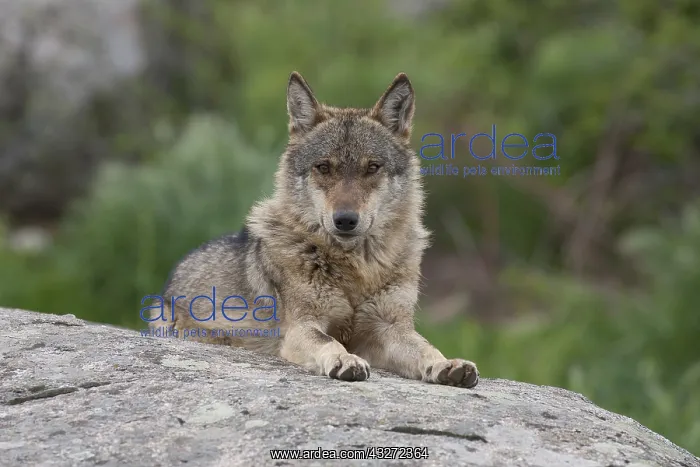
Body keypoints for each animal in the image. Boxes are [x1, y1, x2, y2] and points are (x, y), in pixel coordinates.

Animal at [151, 72, 479, 388]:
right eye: (323, 167)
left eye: (372, 167)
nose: (345, 220)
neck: (357, 269)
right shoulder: (301, 327)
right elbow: (329, 340)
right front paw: (345, 360)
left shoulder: (389, 327)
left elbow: (425, 347)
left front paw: (447, 365)